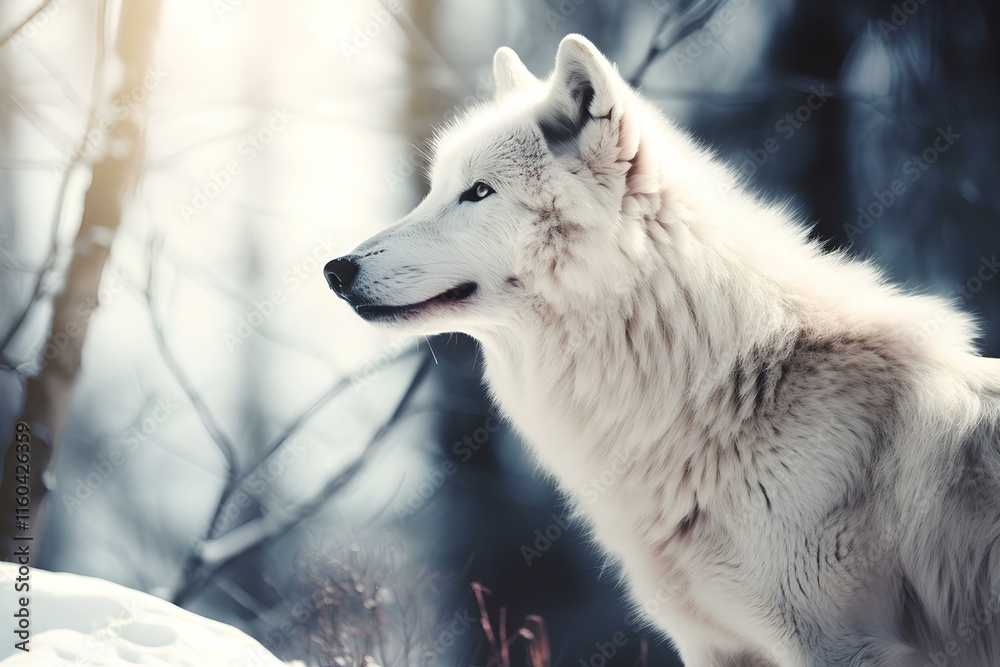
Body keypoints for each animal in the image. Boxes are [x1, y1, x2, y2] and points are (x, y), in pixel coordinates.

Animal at [324, 35, 1000, 666]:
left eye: (479, 192)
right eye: (438, 189)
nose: (335, 269)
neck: (727, 386)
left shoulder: (840, 644)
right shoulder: (713, 644)